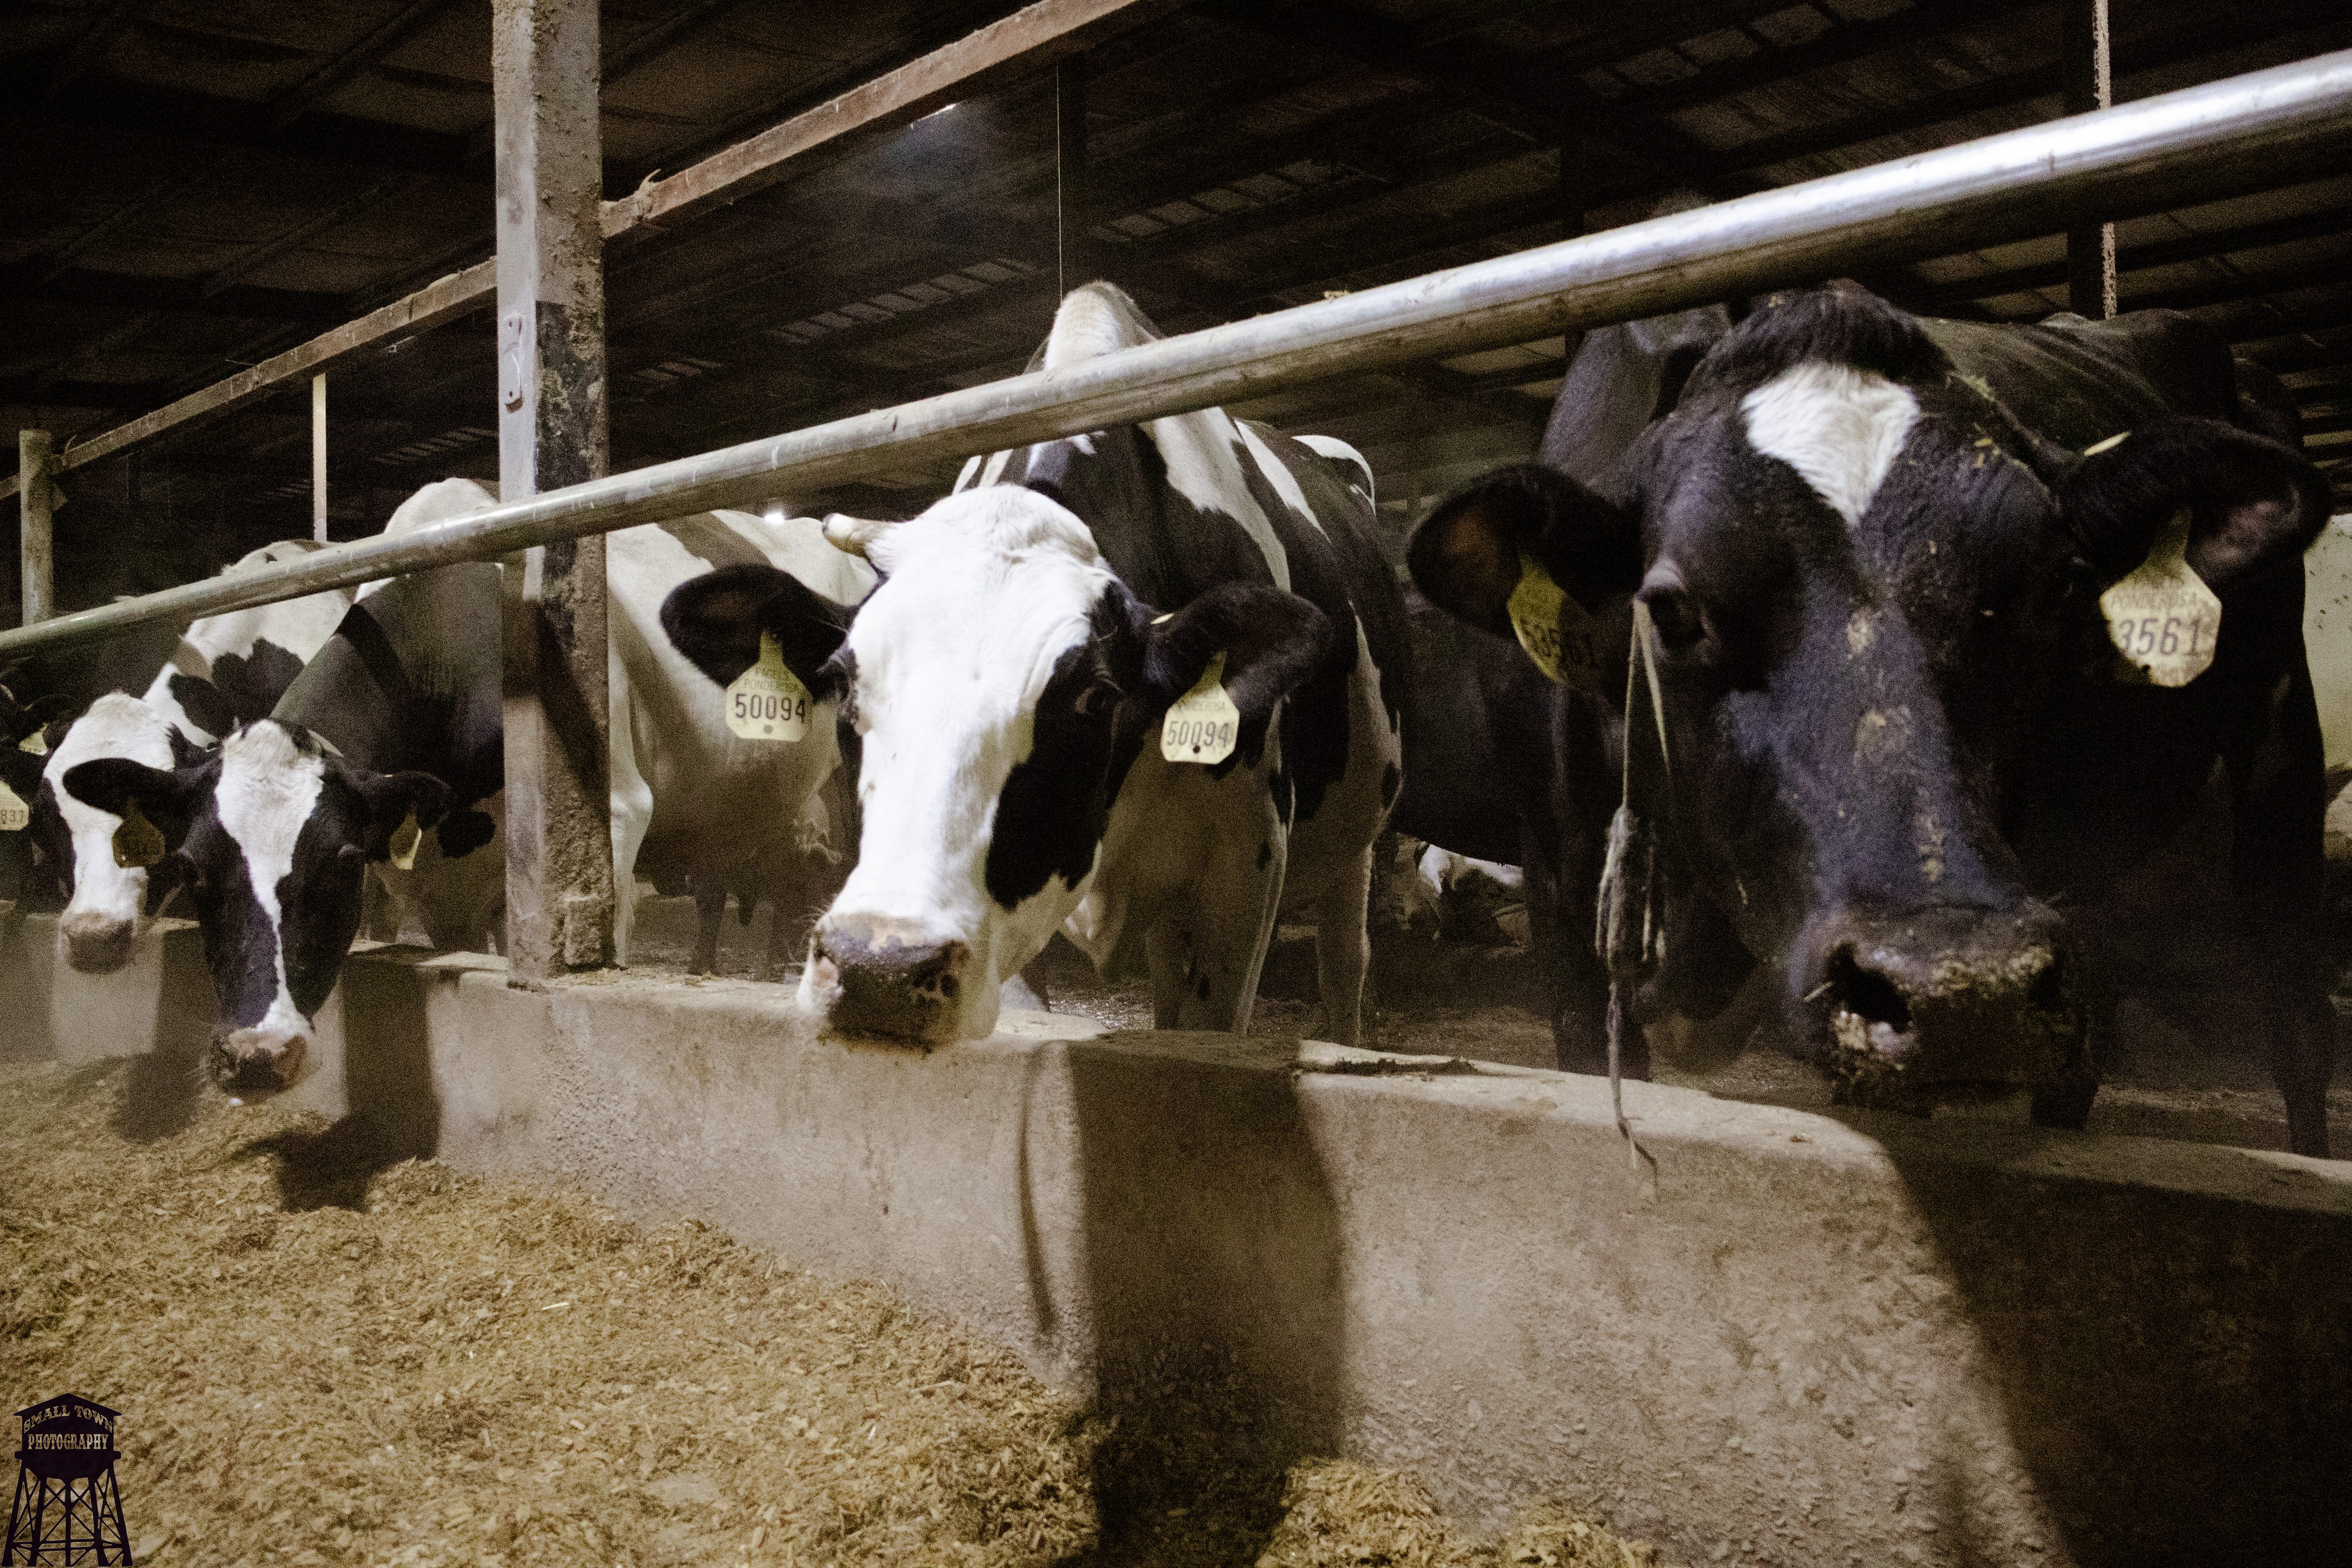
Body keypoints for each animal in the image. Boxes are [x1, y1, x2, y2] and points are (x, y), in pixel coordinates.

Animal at [660, 282, 1412, 1046]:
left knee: (1344, 960)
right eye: (843, 681)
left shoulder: (1243, 871)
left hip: (1354, 842)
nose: (880, 969)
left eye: (1096, 697)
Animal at [1409, 284, 2337, 1156]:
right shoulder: (1554, 877)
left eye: (2056, 590)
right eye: (1670, 611)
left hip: (2280, 741)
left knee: (2294, 1007)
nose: (1964, 985)